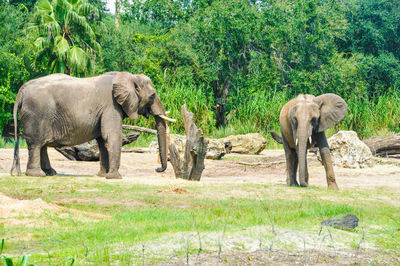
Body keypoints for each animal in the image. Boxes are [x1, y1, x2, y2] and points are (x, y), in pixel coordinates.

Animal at [9, 71, 173, 179]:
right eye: (152, 96)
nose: (158, 169)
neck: (128, 77)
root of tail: (22, 90)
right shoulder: (110, 106)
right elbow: (111, 136)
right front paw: (115, 177)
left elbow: (102, 140)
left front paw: (102, 175)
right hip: (36, 113)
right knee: (36, 144)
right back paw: (37, 175)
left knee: (42, 144)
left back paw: (50, 173)